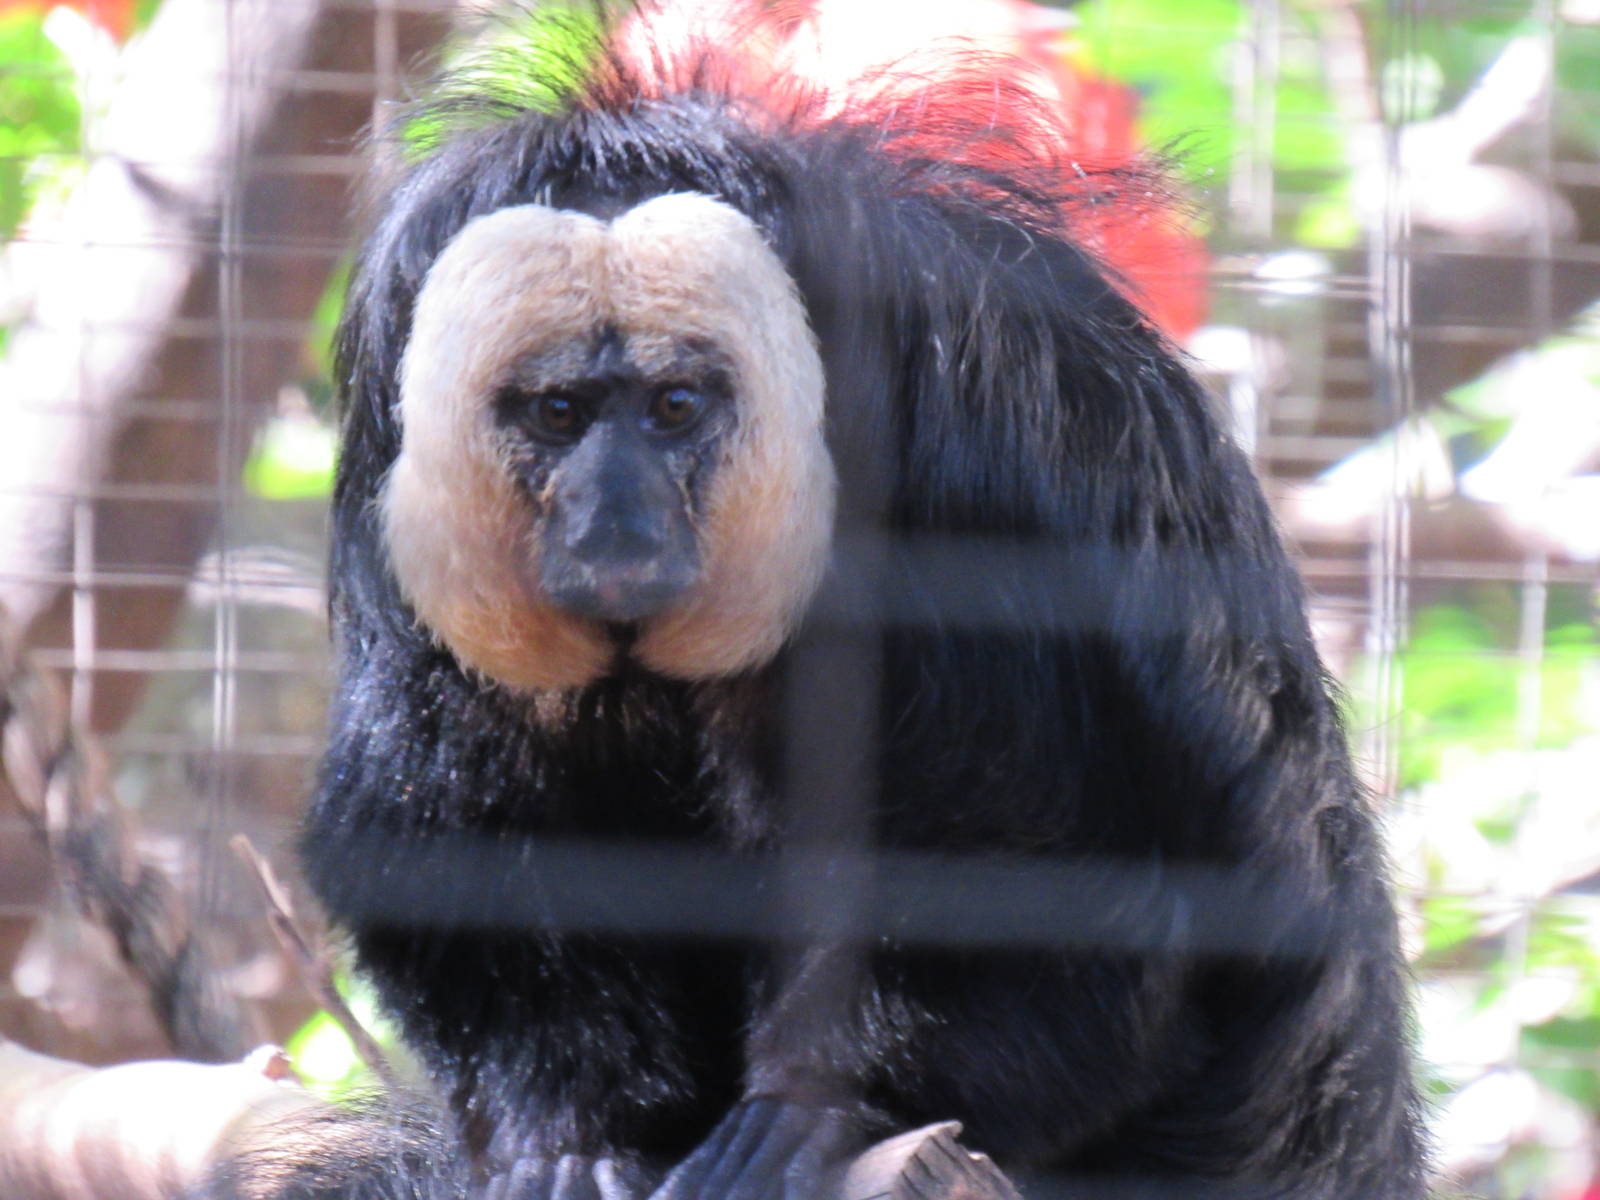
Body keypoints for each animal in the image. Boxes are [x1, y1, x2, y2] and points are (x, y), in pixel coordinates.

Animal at [207, 6, 1428, 1199]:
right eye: (558, 412)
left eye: (674, 405)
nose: (614, 517)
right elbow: (455, 830)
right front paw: (563, 1139)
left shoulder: (969, 474)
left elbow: (1044, 857)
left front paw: (820, 1110)